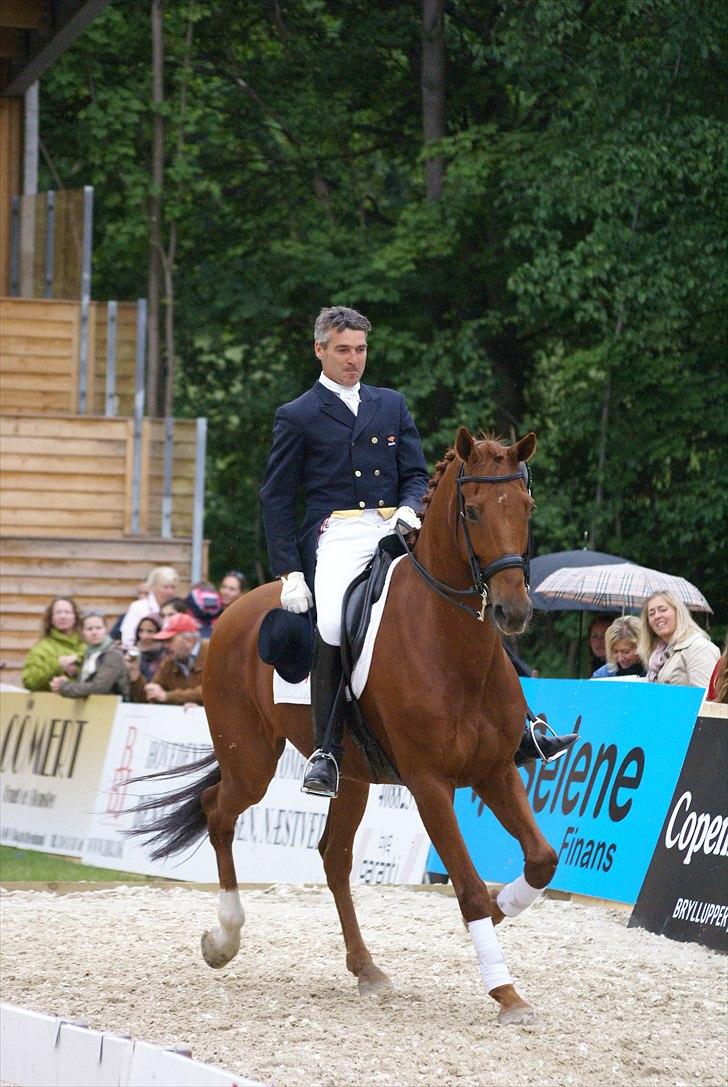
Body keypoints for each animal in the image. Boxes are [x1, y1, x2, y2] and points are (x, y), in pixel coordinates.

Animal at [135, 426, 560, 1026]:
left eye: (526, 506)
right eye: (473, 511)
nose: (512, 613)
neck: (452, 646)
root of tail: (233, 612)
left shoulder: (495, 769)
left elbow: (542, 860)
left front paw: (505, 909)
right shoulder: (430, 784)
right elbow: (469, 888)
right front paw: (506, 993)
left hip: (351, 774)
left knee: (333, 856)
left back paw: (366, 969)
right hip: (251, 761)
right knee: (217, 810)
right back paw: (225, 939)